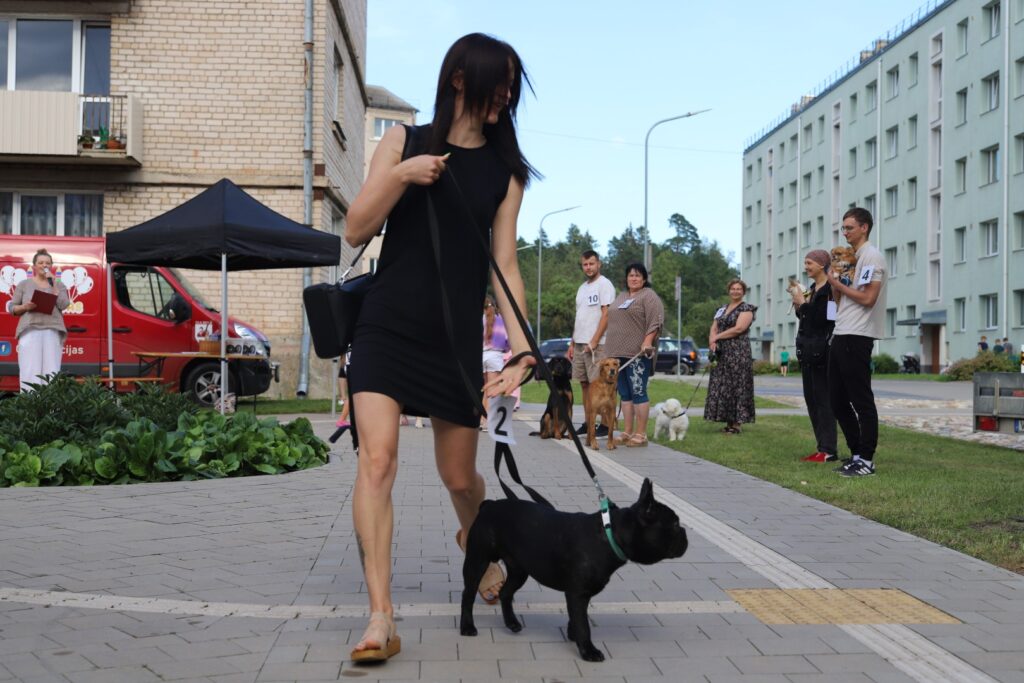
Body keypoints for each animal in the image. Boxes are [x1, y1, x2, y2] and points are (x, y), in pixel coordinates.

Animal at [459, 478, 688, 661]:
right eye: (675, 525)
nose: (685, 533)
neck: (610, 536)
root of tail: (488, 506)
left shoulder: (579, 595)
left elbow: (577, 619)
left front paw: (573, 635)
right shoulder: (577, 594)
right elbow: (583, 623)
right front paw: (588, 651)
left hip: (519, 570)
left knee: (506, 592)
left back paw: (512, 623)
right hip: (478, 561)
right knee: (468, 594)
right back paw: (467, 627)